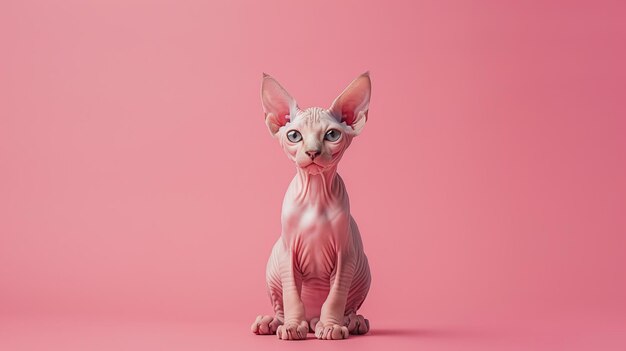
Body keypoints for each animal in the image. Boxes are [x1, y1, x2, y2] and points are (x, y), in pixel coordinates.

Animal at [251, 72, 370, 340]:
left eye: (332, 135)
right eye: (294, 135)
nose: (313, 152)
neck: (315, 194)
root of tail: (312, 318)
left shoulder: (345, 255)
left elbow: (335, 297)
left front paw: (332, 326)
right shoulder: (288, 253)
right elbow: (292, 297)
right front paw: (293, 326)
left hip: (363, 268)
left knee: (348, 304)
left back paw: (350, 321)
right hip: (274, 263)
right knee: (280, 304)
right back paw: (272, 322)